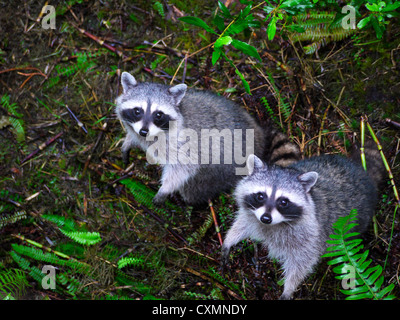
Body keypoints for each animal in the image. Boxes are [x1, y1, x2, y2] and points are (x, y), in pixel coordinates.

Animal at [114, 72, 298, 205]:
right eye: (137, 110)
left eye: (158, 114)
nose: (144, 131)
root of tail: (259, 134)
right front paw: (128, 143)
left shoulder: (183, 144)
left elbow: (184, 167)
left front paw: (164, 189)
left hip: (222, 170)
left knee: (193, 189)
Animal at [222, 145, 384, 300]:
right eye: (261, 196)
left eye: (283, 202)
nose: (266, 219)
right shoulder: (253, 214)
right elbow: (243, 223)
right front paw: (229, 239)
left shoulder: (311, 232)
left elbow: (303, 260)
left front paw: (289, 288)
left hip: (357, 221)